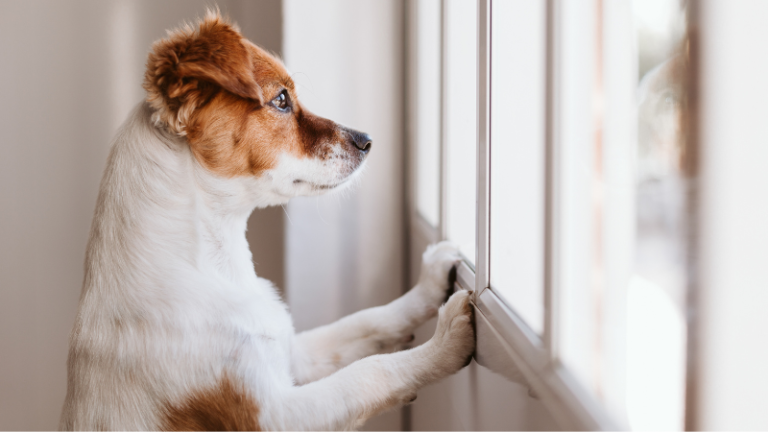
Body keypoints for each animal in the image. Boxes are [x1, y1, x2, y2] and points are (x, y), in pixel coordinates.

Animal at [60, 10, 474, 432]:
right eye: (281, 100)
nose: (367, 140)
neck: (215, 265)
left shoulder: (292, 353)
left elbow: (367, 321)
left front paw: (429, 284)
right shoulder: (273, 414)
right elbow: (370, 372)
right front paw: (444, 343)